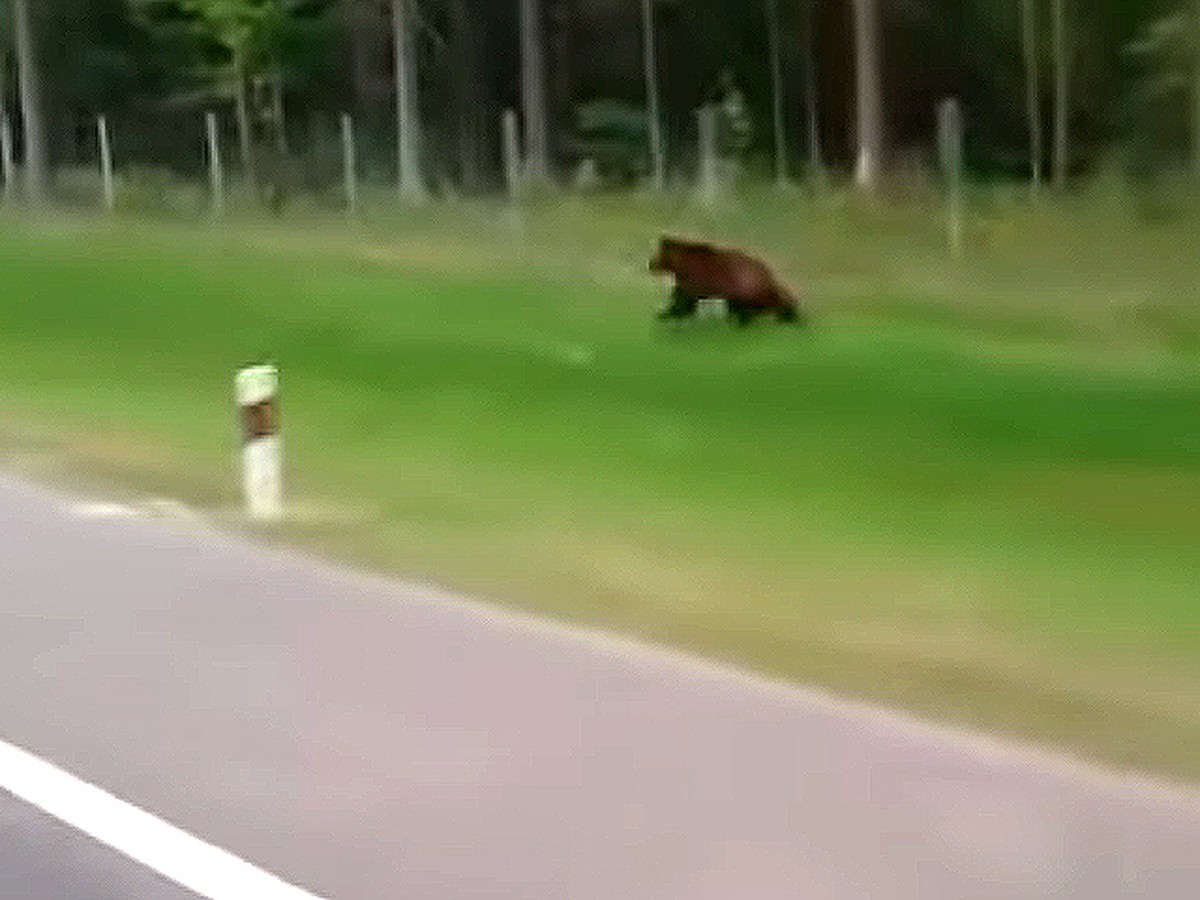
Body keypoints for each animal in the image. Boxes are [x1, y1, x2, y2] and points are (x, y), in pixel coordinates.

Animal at [648, 236, 806, 328]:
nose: (650, 264)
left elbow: (686, 301)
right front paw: (666, 311)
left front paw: (669, 313)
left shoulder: (697, 279)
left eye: (657, 255)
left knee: (768, 302)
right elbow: (680, 295)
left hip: (750, 285)